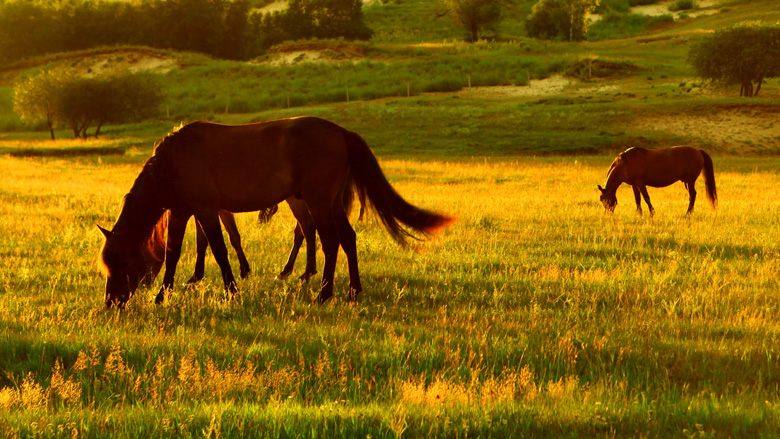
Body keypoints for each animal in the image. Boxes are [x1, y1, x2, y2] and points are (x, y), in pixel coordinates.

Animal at [99, 117, 450, 310]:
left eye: (123, 263)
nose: (111, 302)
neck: (173, 162)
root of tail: (340, 132)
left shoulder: (207, 210)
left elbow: (219, 250)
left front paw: (232, 290)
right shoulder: (181, 211)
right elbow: (174, 253)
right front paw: (163, 295)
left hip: (318, 201)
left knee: (329, 241)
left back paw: (324, 293)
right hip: (330, 202)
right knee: (347, 238)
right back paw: (353, 290)